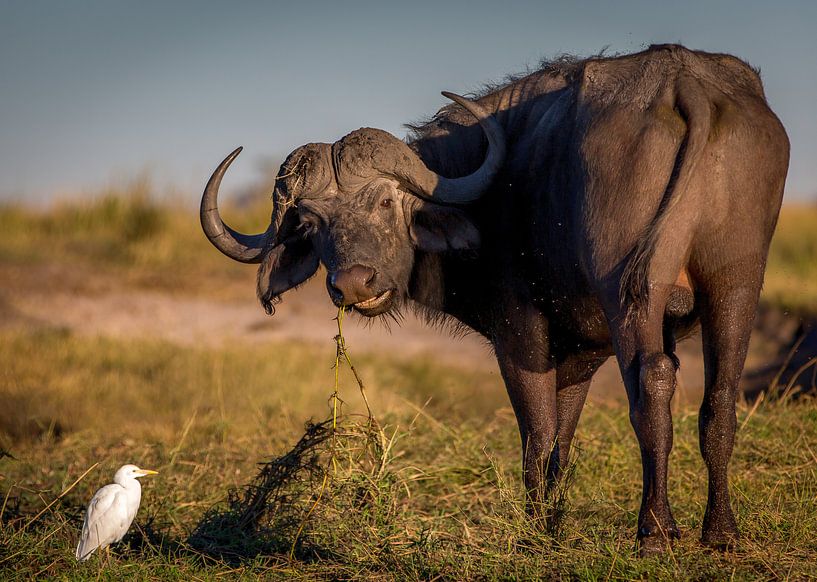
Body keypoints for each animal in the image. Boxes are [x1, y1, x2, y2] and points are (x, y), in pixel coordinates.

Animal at [201, 44, 788, 552]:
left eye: (385, 201)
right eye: (311, 223)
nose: (353, 284)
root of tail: (682, 78)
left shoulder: (519, 335)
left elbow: (537, 432)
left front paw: (534, 528)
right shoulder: (581, 351)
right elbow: (562, 436)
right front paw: (552, 520)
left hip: (634, 292)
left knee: (654, 381)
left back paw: (656, 530)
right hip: (737, 280)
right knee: (720, 398)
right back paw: (721, 530)